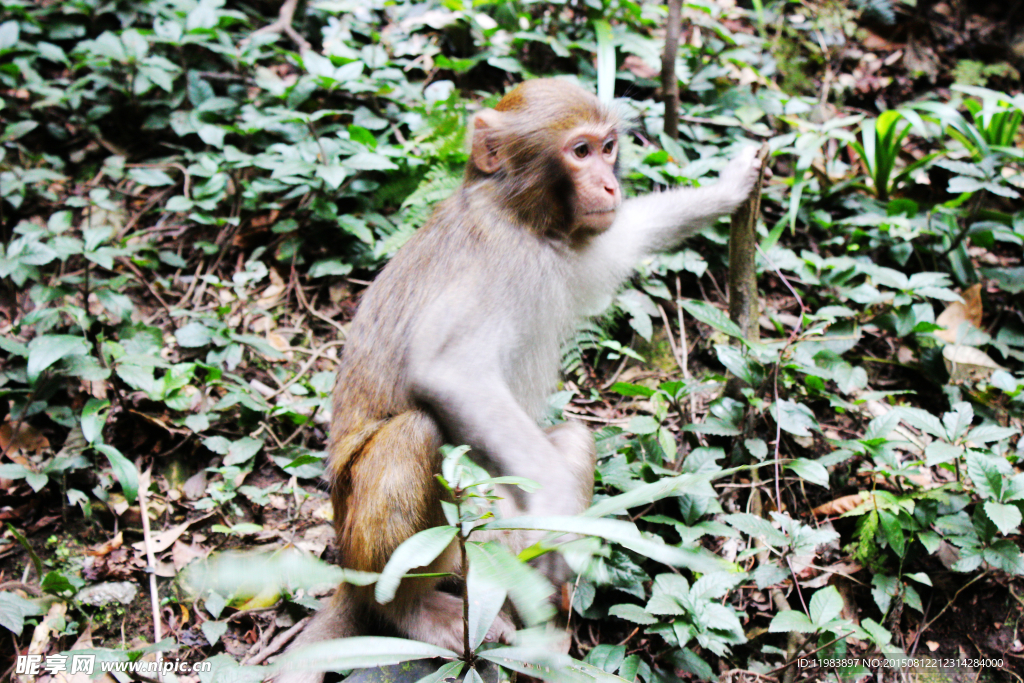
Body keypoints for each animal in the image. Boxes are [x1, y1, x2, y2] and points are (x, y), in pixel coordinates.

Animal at [274, 77, 770, 679]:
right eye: (579, 152)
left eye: (608, 147)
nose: (609, 184)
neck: (521, 218)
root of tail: (346, 571)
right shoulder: (497, 261)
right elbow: (448, 371)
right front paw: (556, 507)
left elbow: (629, 234)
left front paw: (732, 183)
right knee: (417, 431)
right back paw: (409, 610)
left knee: (571, 441)